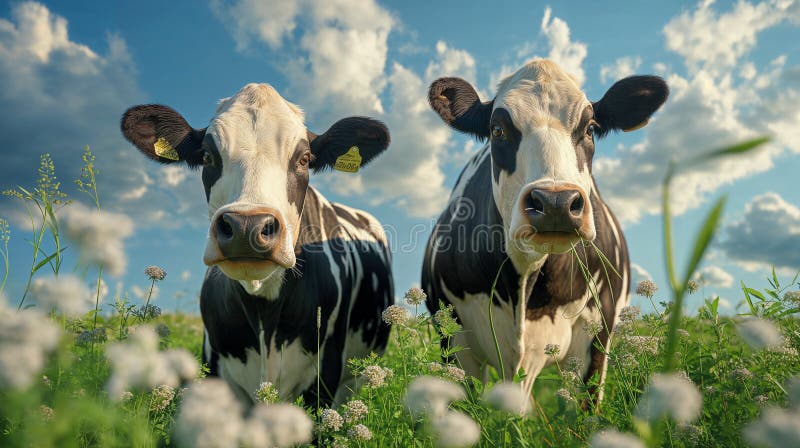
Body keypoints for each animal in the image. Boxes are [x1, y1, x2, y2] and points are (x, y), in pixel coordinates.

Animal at [121, 83, 394, 406]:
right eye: (208, 156)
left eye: (304, 158)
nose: (246, 227)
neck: (263, 310)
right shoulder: (215, 364)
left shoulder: (326, 371)